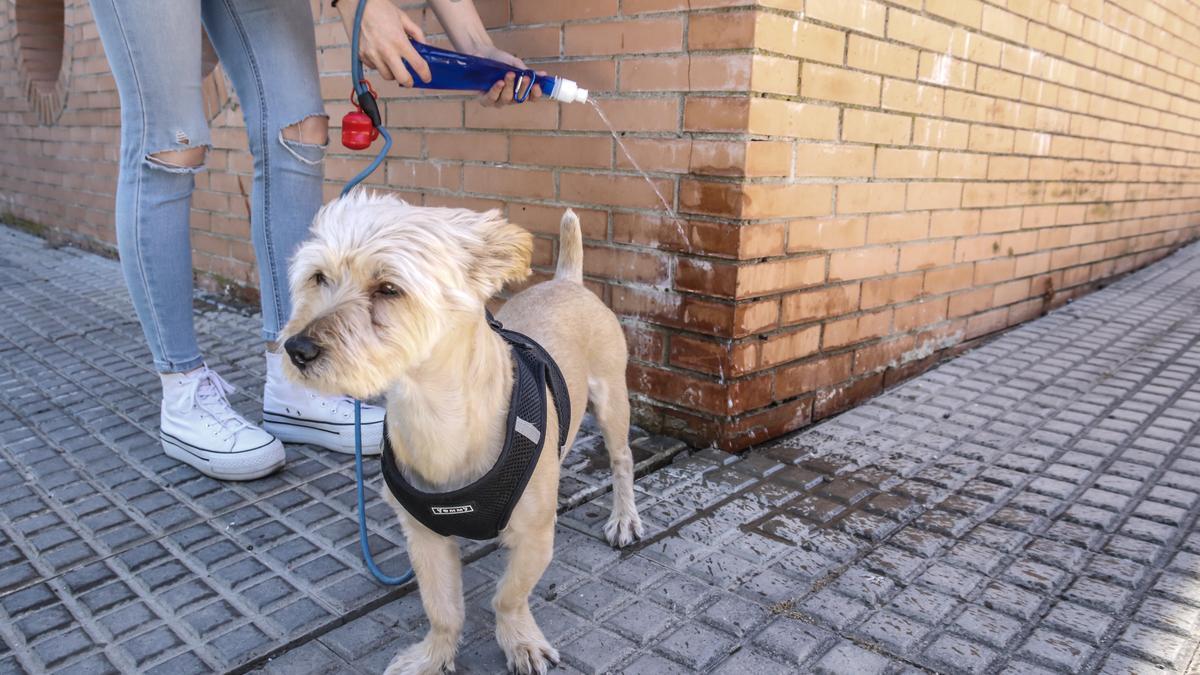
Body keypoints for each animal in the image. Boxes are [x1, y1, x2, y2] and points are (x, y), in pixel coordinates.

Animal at [277, 189, 643, 672]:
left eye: (389, 289)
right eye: (319, 277)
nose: (296, 348)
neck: (434, 413)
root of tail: (567, 281)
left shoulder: (534, 538)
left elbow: (508, 597)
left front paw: (519, 641)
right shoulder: (425, 538)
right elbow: (443, 609)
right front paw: (433, 656)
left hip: (612, 402)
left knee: (622, 460)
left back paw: (624, 517)